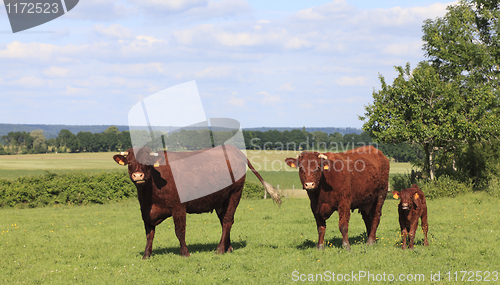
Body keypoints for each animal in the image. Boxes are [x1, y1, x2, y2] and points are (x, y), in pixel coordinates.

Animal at [113, 144, 282, 258]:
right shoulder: (145, 210)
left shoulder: (178, 207)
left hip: (235, 193)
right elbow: (149, 233)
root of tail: (234, 149)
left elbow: (179, 231)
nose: (138, 176)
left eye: (147, 162)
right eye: (129, 163)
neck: (151, 194)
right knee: (226, 221)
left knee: (227, 220)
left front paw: (185, 253)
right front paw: (146, 255)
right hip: (221, 200)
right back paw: (228, 248)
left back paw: (219, 250)